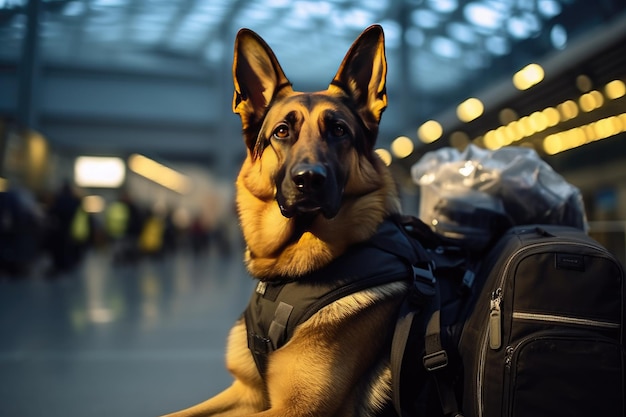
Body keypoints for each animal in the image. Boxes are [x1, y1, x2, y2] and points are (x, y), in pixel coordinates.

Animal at [162, 25, 410, 416]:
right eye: (282, 132)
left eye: (339, 130)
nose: (309, 179)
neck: (286, 273)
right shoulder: (246, 392)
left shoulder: (297, 408)